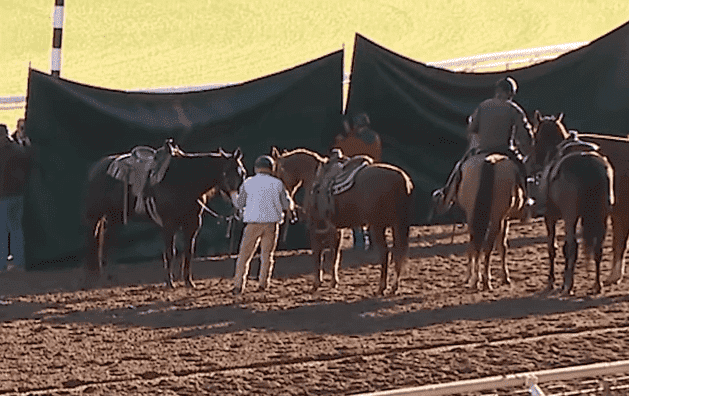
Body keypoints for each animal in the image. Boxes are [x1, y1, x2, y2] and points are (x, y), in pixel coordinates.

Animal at [83, 144, 245, 286]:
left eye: (242, 172)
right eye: (226, 172)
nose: (239, 198)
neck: (184, 181)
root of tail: (95, 168)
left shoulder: (192, 224)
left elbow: (188, 251)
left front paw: (189, 282)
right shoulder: (169, 224)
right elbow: (170, 252)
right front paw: (170, 282)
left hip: (114, 218)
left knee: (107, 243)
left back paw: (106, 276)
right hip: (94, 217)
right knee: (92, 242)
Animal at [268, 147, 412, 296]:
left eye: (275, 172)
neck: (315, 177)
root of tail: (400, 178)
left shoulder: (315, 227)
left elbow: (318, 255)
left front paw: (316, 283)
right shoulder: (336, 229)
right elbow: (334, 255)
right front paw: (333, 282)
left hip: (377, 226)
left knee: (385, 253)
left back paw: (381, 287)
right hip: (397, 225)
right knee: (398, 253)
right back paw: (394, 287)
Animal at [528, 111, 616, 294]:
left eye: (535, 137)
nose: (533, 162)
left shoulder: (551, 217)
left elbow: (553, 247)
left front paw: (553, 281)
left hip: (571, 216)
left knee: (573, 246)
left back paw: (569, 285)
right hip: (602, 215)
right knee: (598, 248)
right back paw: (597, 284)